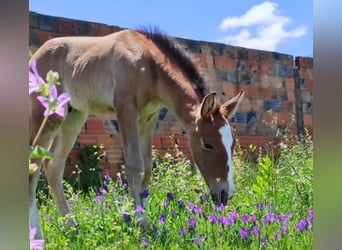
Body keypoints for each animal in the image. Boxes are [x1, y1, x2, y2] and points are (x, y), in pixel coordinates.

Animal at [28, 28, 243, 237]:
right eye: (208, 144)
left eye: (232, 143)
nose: (225, 194)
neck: (149, 66)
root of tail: (34, 57)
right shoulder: (126, 108)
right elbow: (134, 166)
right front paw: (139, 222)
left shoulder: (149, 116)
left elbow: (147, 168)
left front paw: (146, 221)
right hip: (46, 113)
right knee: (34, 163)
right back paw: (37, 235)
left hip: (73, 116)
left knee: (53, 165)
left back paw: (71, 227)